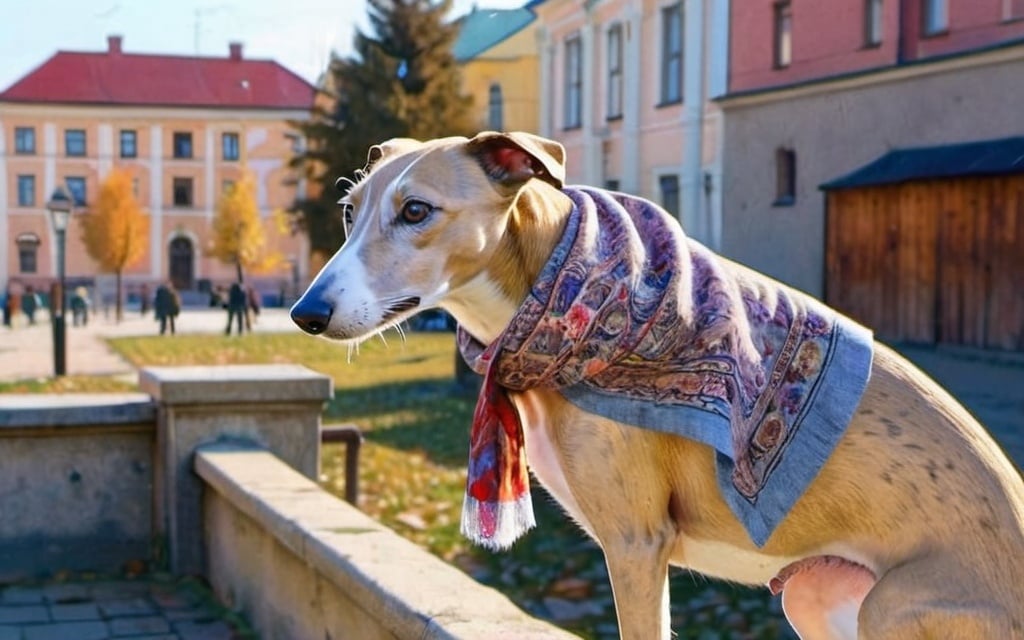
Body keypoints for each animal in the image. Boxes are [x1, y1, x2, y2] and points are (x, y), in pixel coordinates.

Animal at [292, 131, 1024, 638]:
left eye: (417, 210)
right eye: (350, 210)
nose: (306, 313)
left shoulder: (637, 545)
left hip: (893, 607)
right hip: (819, 596)